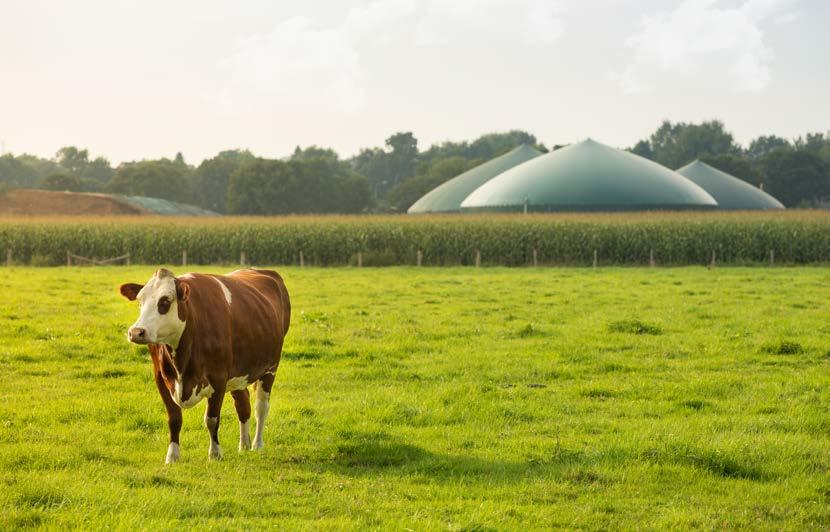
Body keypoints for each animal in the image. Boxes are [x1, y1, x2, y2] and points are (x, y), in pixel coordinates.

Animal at [118, 268, 290, 464]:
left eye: (165, 301)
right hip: (239, 372)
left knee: (261, 407)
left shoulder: (219, 378)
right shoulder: (161, 378)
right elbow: (174, 419)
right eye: (140, 301)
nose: (136, 332)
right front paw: (172, 456)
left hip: (270, 368)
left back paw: (257, 444)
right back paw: (244, 445)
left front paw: (215, 453)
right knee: (243, 405)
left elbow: (211, 419)